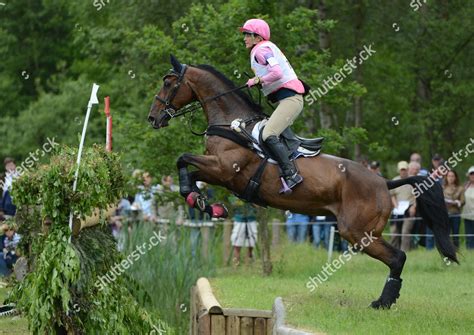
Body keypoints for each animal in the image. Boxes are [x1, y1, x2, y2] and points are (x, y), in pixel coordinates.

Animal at [149, 54, 460, 310]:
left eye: (168, 83)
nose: (153, 118)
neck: (233, 123)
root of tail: (384, 182)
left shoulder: (226, 170)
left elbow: (183, 159)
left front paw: (201, 201)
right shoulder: (219, 171)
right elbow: (187, 168)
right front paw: (205, 204)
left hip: (358, 232)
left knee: (398, 257)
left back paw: (382, 302)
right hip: (362, 232)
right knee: (397, 257)